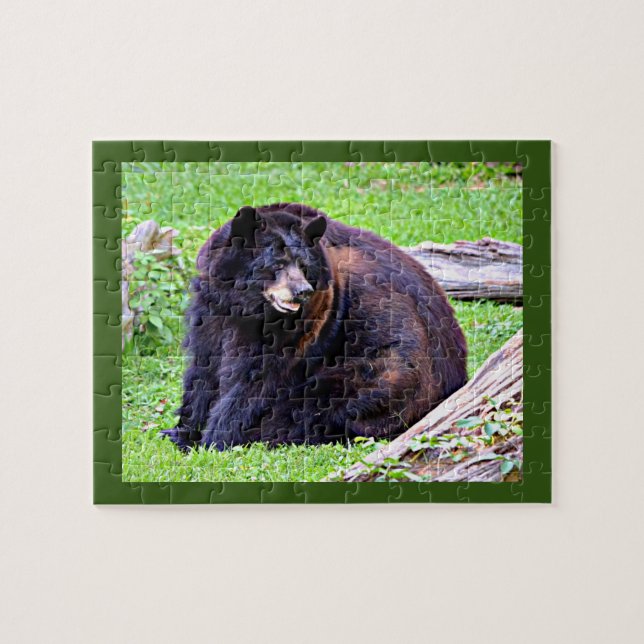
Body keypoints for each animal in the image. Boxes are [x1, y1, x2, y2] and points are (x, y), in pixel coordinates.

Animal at [161, 203, 467, 451]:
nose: (302, 291)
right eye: (277, 263)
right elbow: (204, 368)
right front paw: (182, 431)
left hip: (387, 371)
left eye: (303, 265)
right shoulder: (212, 312)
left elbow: (254, 381)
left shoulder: (304, 326)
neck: (248, 308)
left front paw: (216, 437)